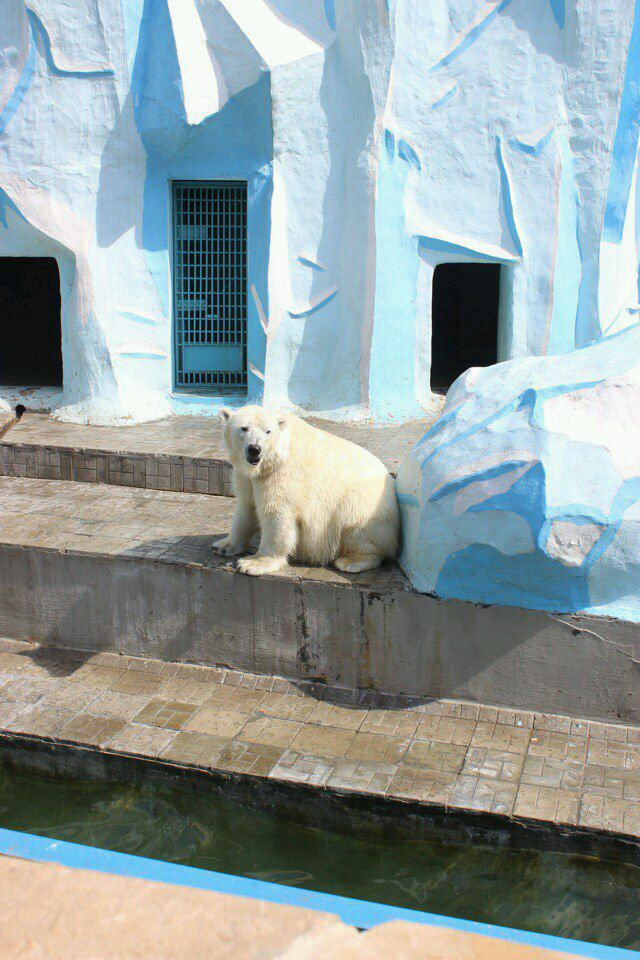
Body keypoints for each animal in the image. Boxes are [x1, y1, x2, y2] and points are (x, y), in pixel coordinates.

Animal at [212, 406, 398, 576]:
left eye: (268, 431)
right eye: (244, 428)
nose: (254, 449)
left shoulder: (282, 475)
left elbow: (276, 514)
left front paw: (253, 563)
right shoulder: (247, 477)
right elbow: (246, 507)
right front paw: (222, 546)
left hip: (365, 505)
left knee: (355, 525)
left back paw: (351, 561)